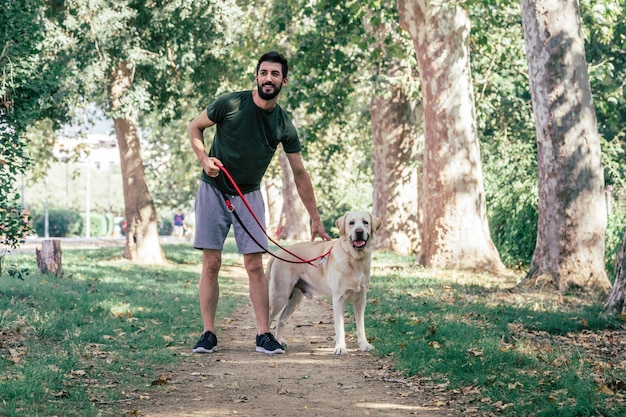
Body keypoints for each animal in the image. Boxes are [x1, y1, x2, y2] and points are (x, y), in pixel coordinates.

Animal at [264, 211, 378, 354]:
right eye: (351, 223)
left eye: (365, 222)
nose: (359, 231)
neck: (353, 258)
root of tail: (278, 253)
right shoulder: (338, 299)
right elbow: (339, 327)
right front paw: (340, 348)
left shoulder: (361, 299)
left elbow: (361, 326)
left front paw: (364, 345)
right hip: (280, 295)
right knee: (269, 318)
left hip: (294, 300)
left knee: (281, 319)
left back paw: (279, 341)